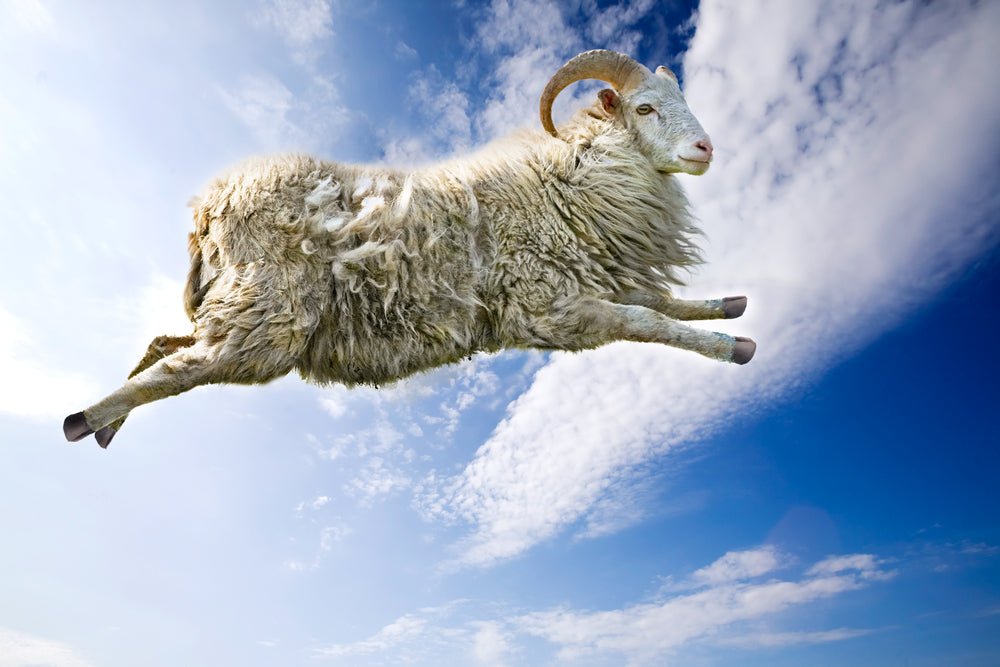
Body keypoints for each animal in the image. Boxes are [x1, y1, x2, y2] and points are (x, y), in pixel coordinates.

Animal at [63, 49, 755, 448]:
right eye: (644, 108)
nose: (706, 149)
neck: (567, 184)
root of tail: (209, 208)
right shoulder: (547, 308)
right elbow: (645, 319)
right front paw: (732, 346)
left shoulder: (587, 284)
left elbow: (658, 301)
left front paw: (728, 306)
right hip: (270, 317)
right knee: (179, 369)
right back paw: (86, 419)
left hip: (239, 305)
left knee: (167, 345)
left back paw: (106, 426)